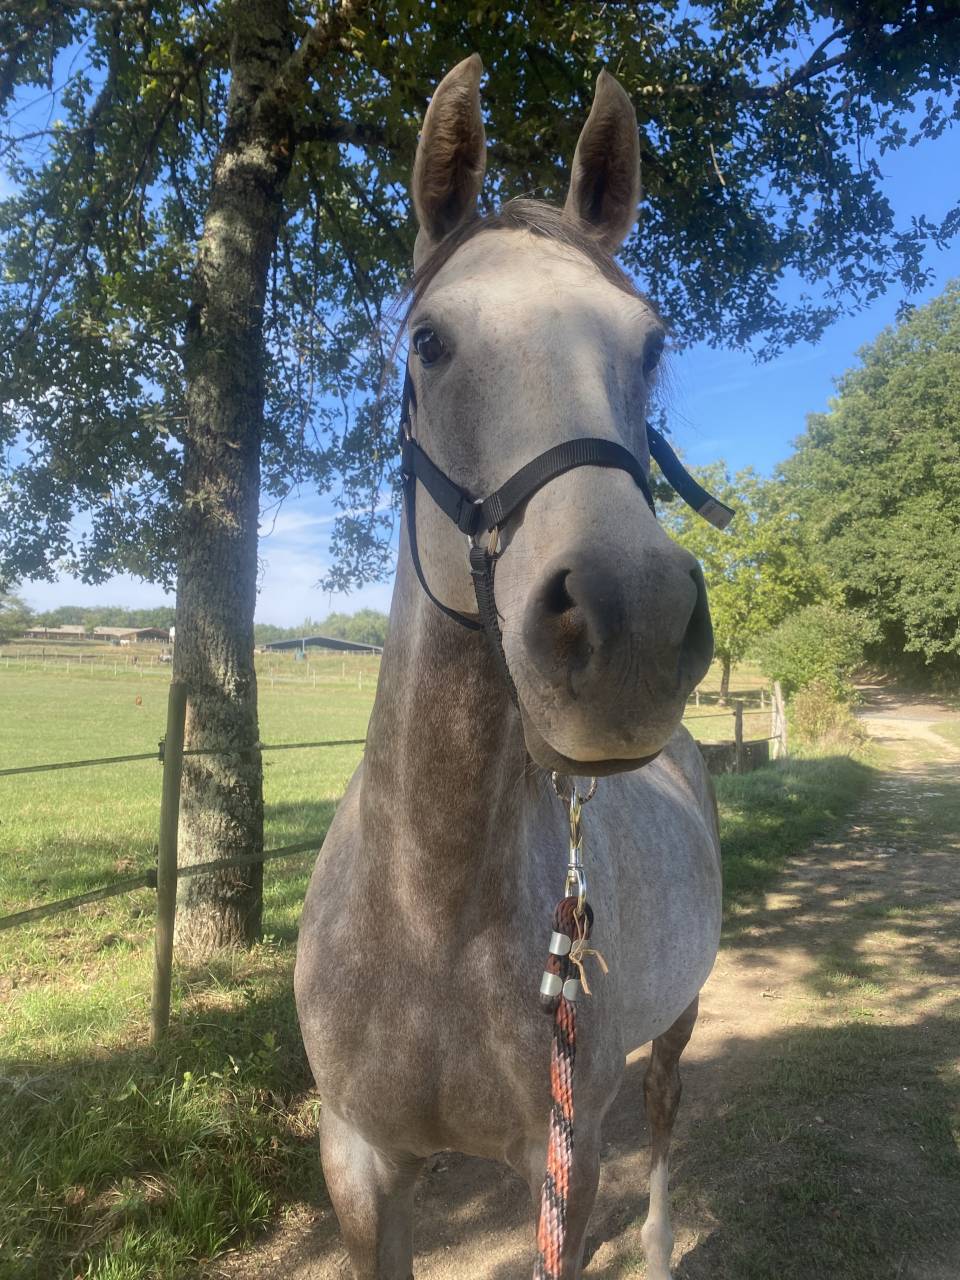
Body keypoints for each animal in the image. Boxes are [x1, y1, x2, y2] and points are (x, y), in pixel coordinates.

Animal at [295, 55, 722, 1280]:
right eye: (429, 342)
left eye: (651, 343)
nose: (631, 623)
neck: (430, 915)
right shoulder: (359, 1162)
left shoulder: (562, 1159)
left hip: (672, 1030)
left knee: (668, 1118)